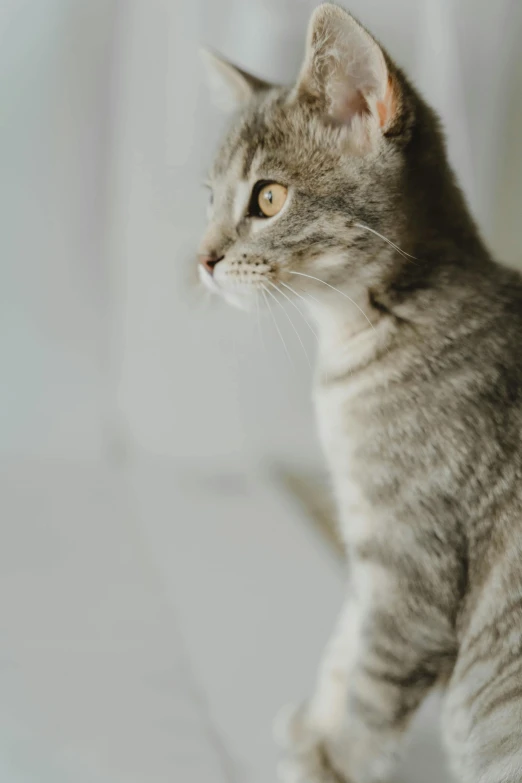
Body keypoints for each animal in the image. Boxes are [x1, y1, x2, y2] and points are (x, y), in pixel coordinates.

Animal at [195, 6, 520, 783]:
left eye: (269, 198)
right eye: (209, 197)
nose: (202, 259)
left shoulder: (414, 559)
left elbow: (375, 679)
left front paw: (335, 761)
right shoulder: (372, 539)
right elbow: (345, 641)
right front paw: (316, 725)